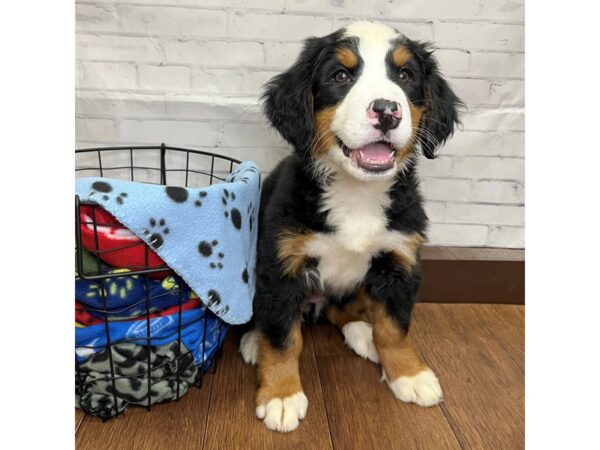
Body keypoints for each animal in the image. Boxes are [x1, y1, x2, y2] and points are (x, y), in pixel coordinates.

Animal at [238, 20, 460, 432]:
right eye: (341, 75)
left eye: (405, 76)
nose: (387, 110)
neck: (357, 194)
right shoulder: (282, 266)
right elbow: (282, 338)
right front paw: (281, 396)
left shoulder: (400, 261)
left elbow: (395, 327)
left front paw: (409, 374)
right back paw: (252, 343)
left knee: (344, 310)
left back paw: (363, 334)